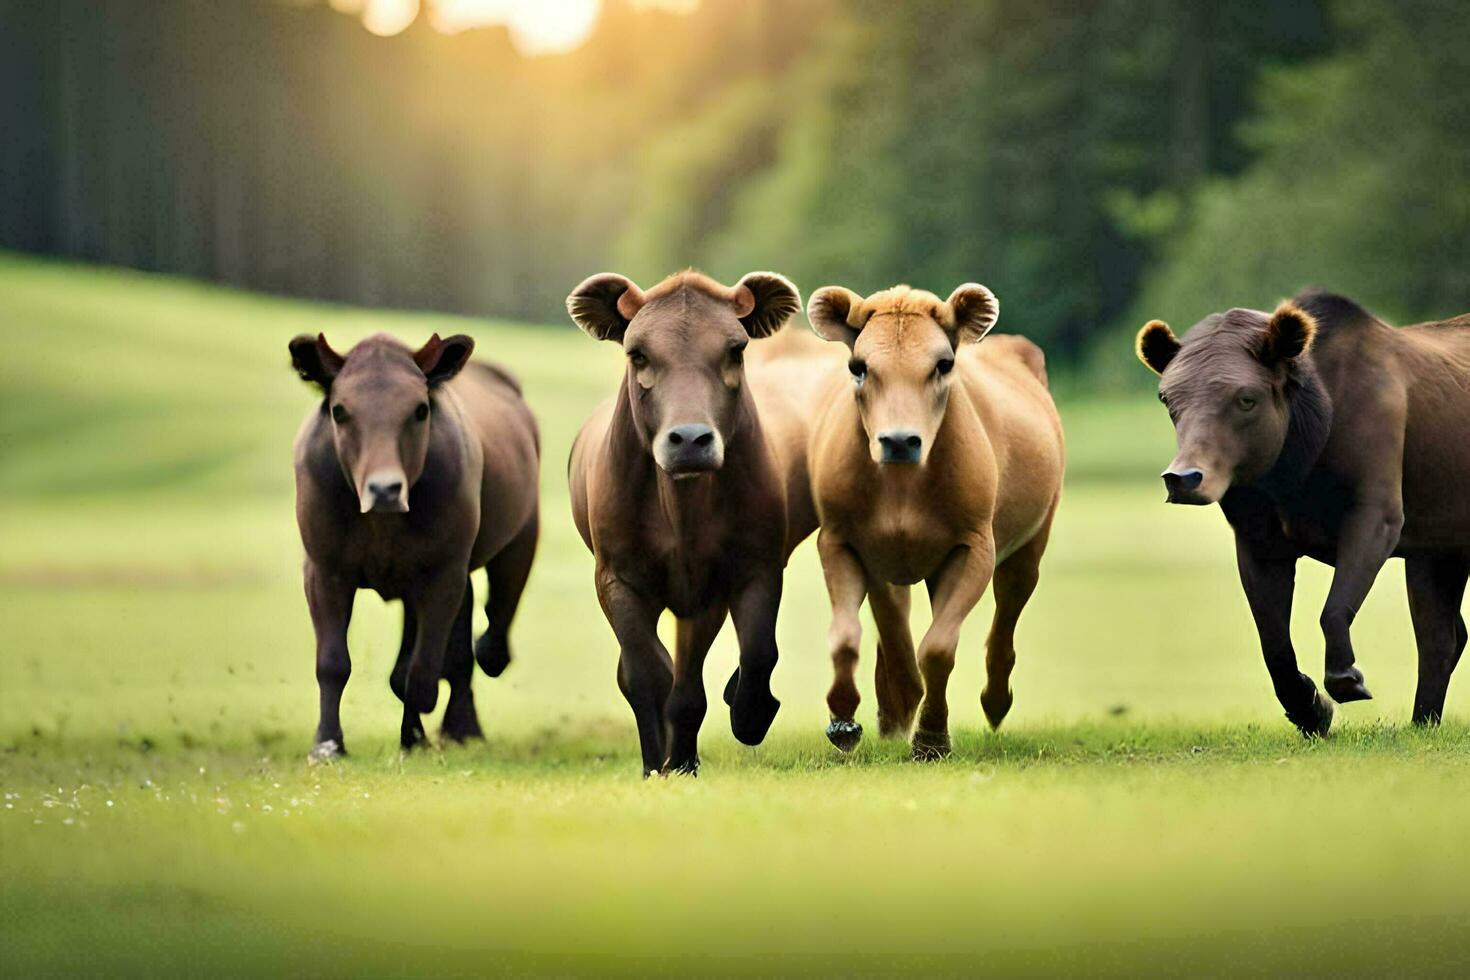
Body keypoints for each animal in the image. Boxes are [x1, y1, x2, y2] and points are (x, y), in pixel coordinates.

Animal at [288, 332, 540, 758]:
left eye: (420, 410)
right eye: (340, 411)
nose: (384, 489)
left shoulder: (443, 575)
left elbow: (420, 670)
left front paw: (413, 737)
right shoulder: (324, 569)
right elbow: (333, 662)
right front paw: (327, 744)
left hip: (520, 540)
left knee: (492, 627)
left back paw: (465, 716)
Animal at [567, 271, 834, 775]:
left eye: (734, 349)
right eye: (638, 353)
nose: (690, 439)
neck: (681, 508)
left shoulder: (744, 571)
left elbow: (755, 654)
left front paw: (744, 717)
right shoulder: (616, 578)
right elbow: (646, 672)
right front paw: (657, 761)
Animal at [1134, 290, 1470, 734]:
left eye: (1246, 398)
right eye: (1168, 398)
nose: (1184, 477)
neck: (1295, 463)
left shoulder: (1377, 511)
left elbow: (1334, 608)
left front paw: (1346, 679)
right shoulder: (1259, 538)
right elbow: (1273, 644)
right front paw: (1310, 707)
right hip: (1438, 545)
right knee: (1442, 636)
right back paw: (1421, 721)